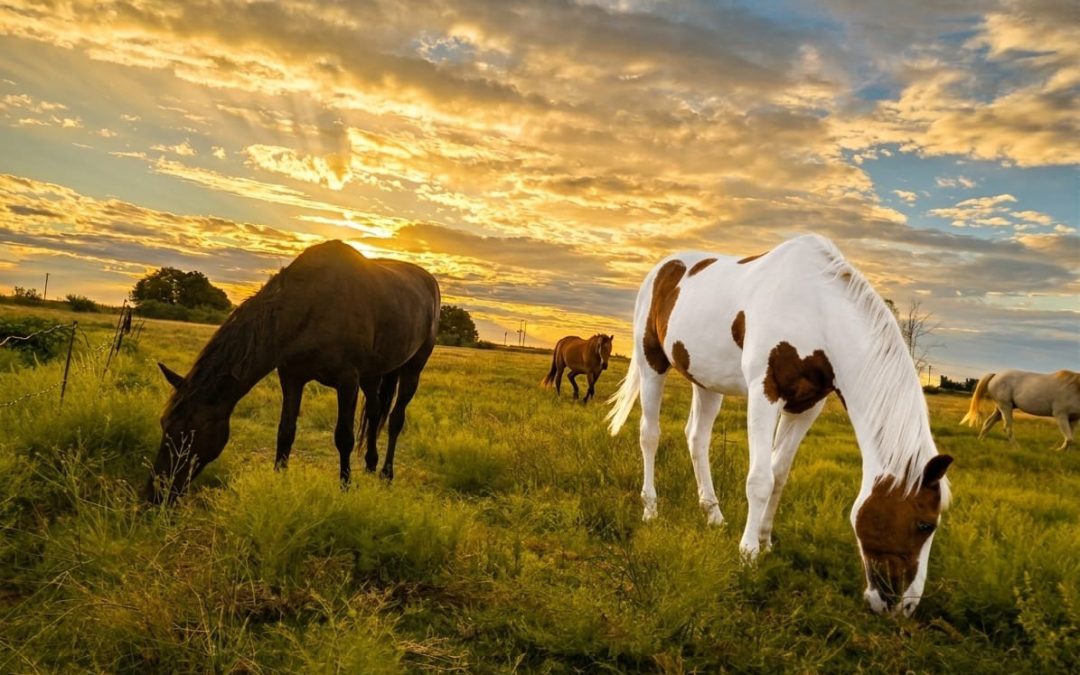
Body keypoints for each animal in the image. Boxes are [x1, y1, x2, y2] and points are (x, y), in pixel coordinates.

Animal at [145, 240, 440, 503]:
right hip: (373, 374)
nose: (156, 494)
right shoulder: (292, 377)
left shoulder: (347, 380)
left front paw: (345, 488)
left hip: (413, 368)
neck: (312, 304)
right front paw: (278, 481)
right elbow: (285, 432)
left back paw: (386, 475)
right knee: (376, 413)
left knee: (395, 420)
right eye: (164, 424)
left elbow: (343, 437)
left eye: (189, 433)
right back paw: (370, 466)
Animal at [607, 234, 953, 616]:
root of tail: (663, 268)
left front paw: (764, 539)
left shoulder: (806, 406)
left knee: (697, 439)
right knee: (649, 435)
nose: (904, 607)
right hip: (651, 363)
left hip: (706, 380)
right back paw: (650, 509)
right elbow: (760, 479)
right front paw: (747, 554)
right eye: (925, 524)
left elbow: (779, 474)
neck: (818, 312)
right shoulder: (765, 392)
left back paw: (713, 515)